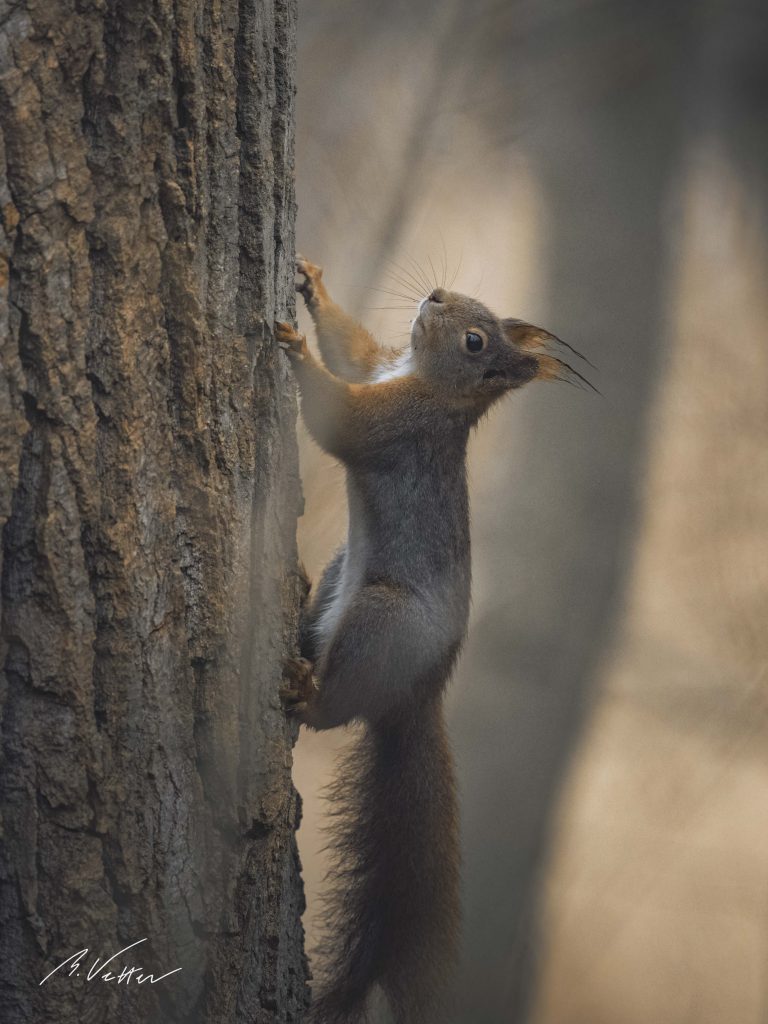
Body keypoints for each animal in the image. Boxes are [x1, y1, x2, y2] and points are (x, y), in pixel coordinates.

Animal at [278, 256, 593, 1024]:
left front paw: (294, 351)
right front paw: (314, 291)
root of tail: (421, 692)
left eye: (476, 341)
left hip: (381, 620)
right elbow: (354, 352)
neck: (428, 382)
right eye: (468, 308)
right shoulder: (380, 367)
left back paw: (306, 689)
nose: (437, 295)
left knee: (333, 710)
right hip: (343, 579)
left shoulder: (398, 424)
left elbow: (344, 422)